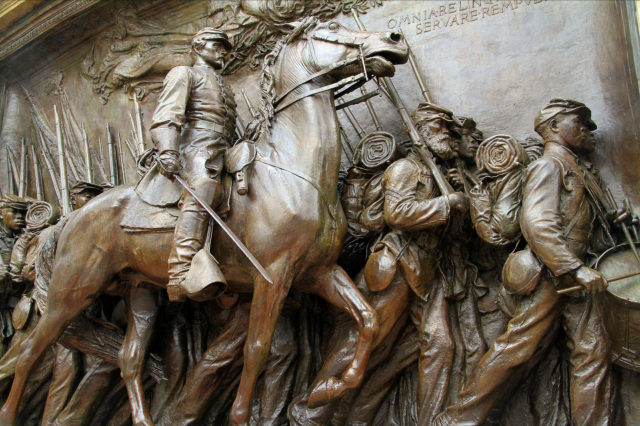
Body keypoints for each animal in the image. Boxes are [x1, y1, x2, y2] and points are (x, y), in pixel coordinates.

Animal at [0, 18, 408, 424]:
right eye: (332, 30)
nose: (394, 39)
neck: (291, 168)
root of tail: (70, 219)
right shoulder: (272, 279)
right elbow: (256, 349)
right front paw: (242, 415)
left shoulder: (319, 272)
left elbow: (368, 318)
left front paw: (330, 388)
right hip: (71, 293)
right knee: (31, 351)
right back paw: (10, 411)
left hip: (142, 292)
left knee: (128, 359)